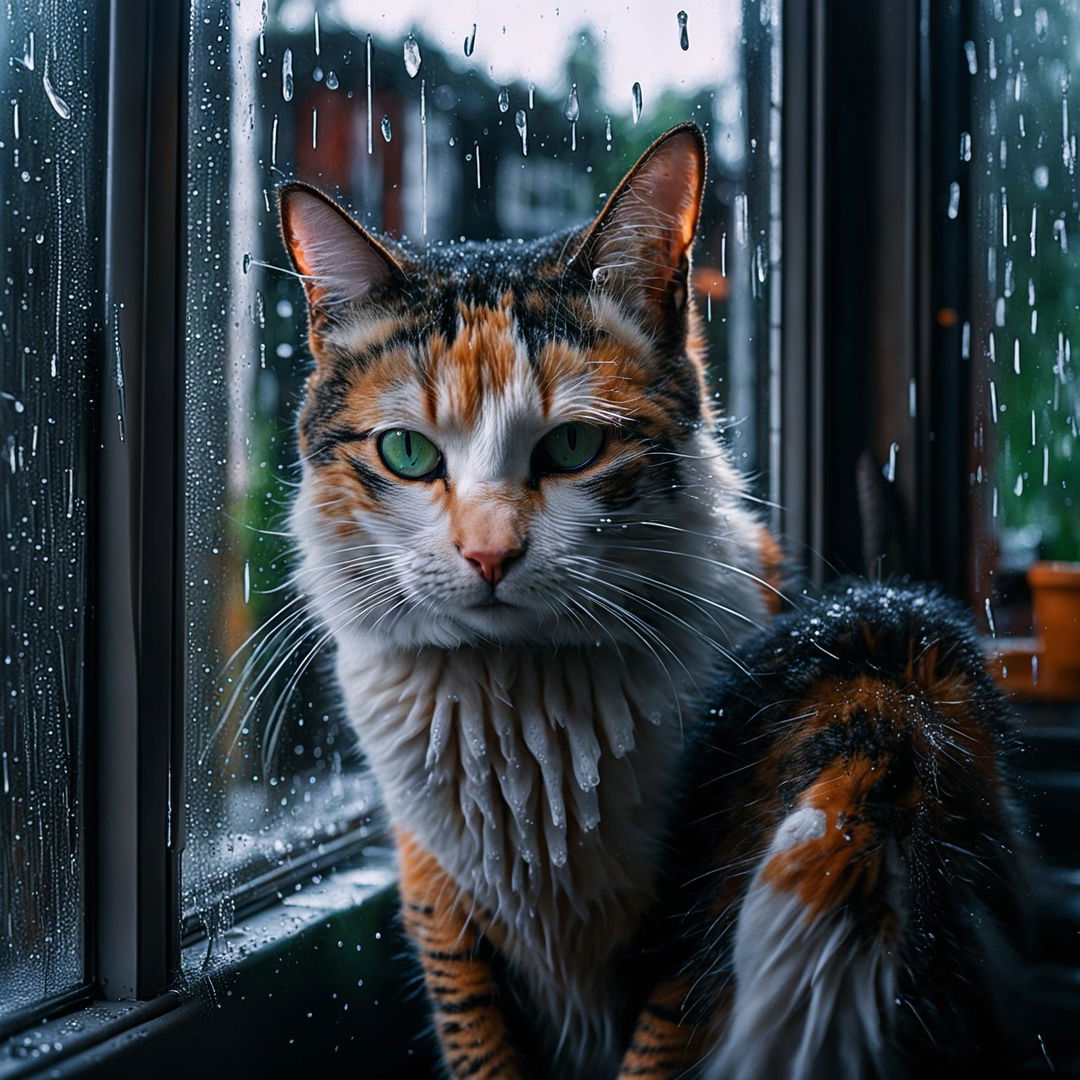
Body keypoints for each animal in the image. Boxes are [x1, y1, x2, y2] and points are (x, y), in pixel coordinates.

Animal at [276, 126, 1019, 1080]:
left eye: (574, 447)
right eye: (406, 452)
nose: (488, 553)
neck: (518, 700)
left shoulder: (706, 903)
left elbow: (664, 1042)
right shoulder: (439, 910)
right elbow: (479, 1040)